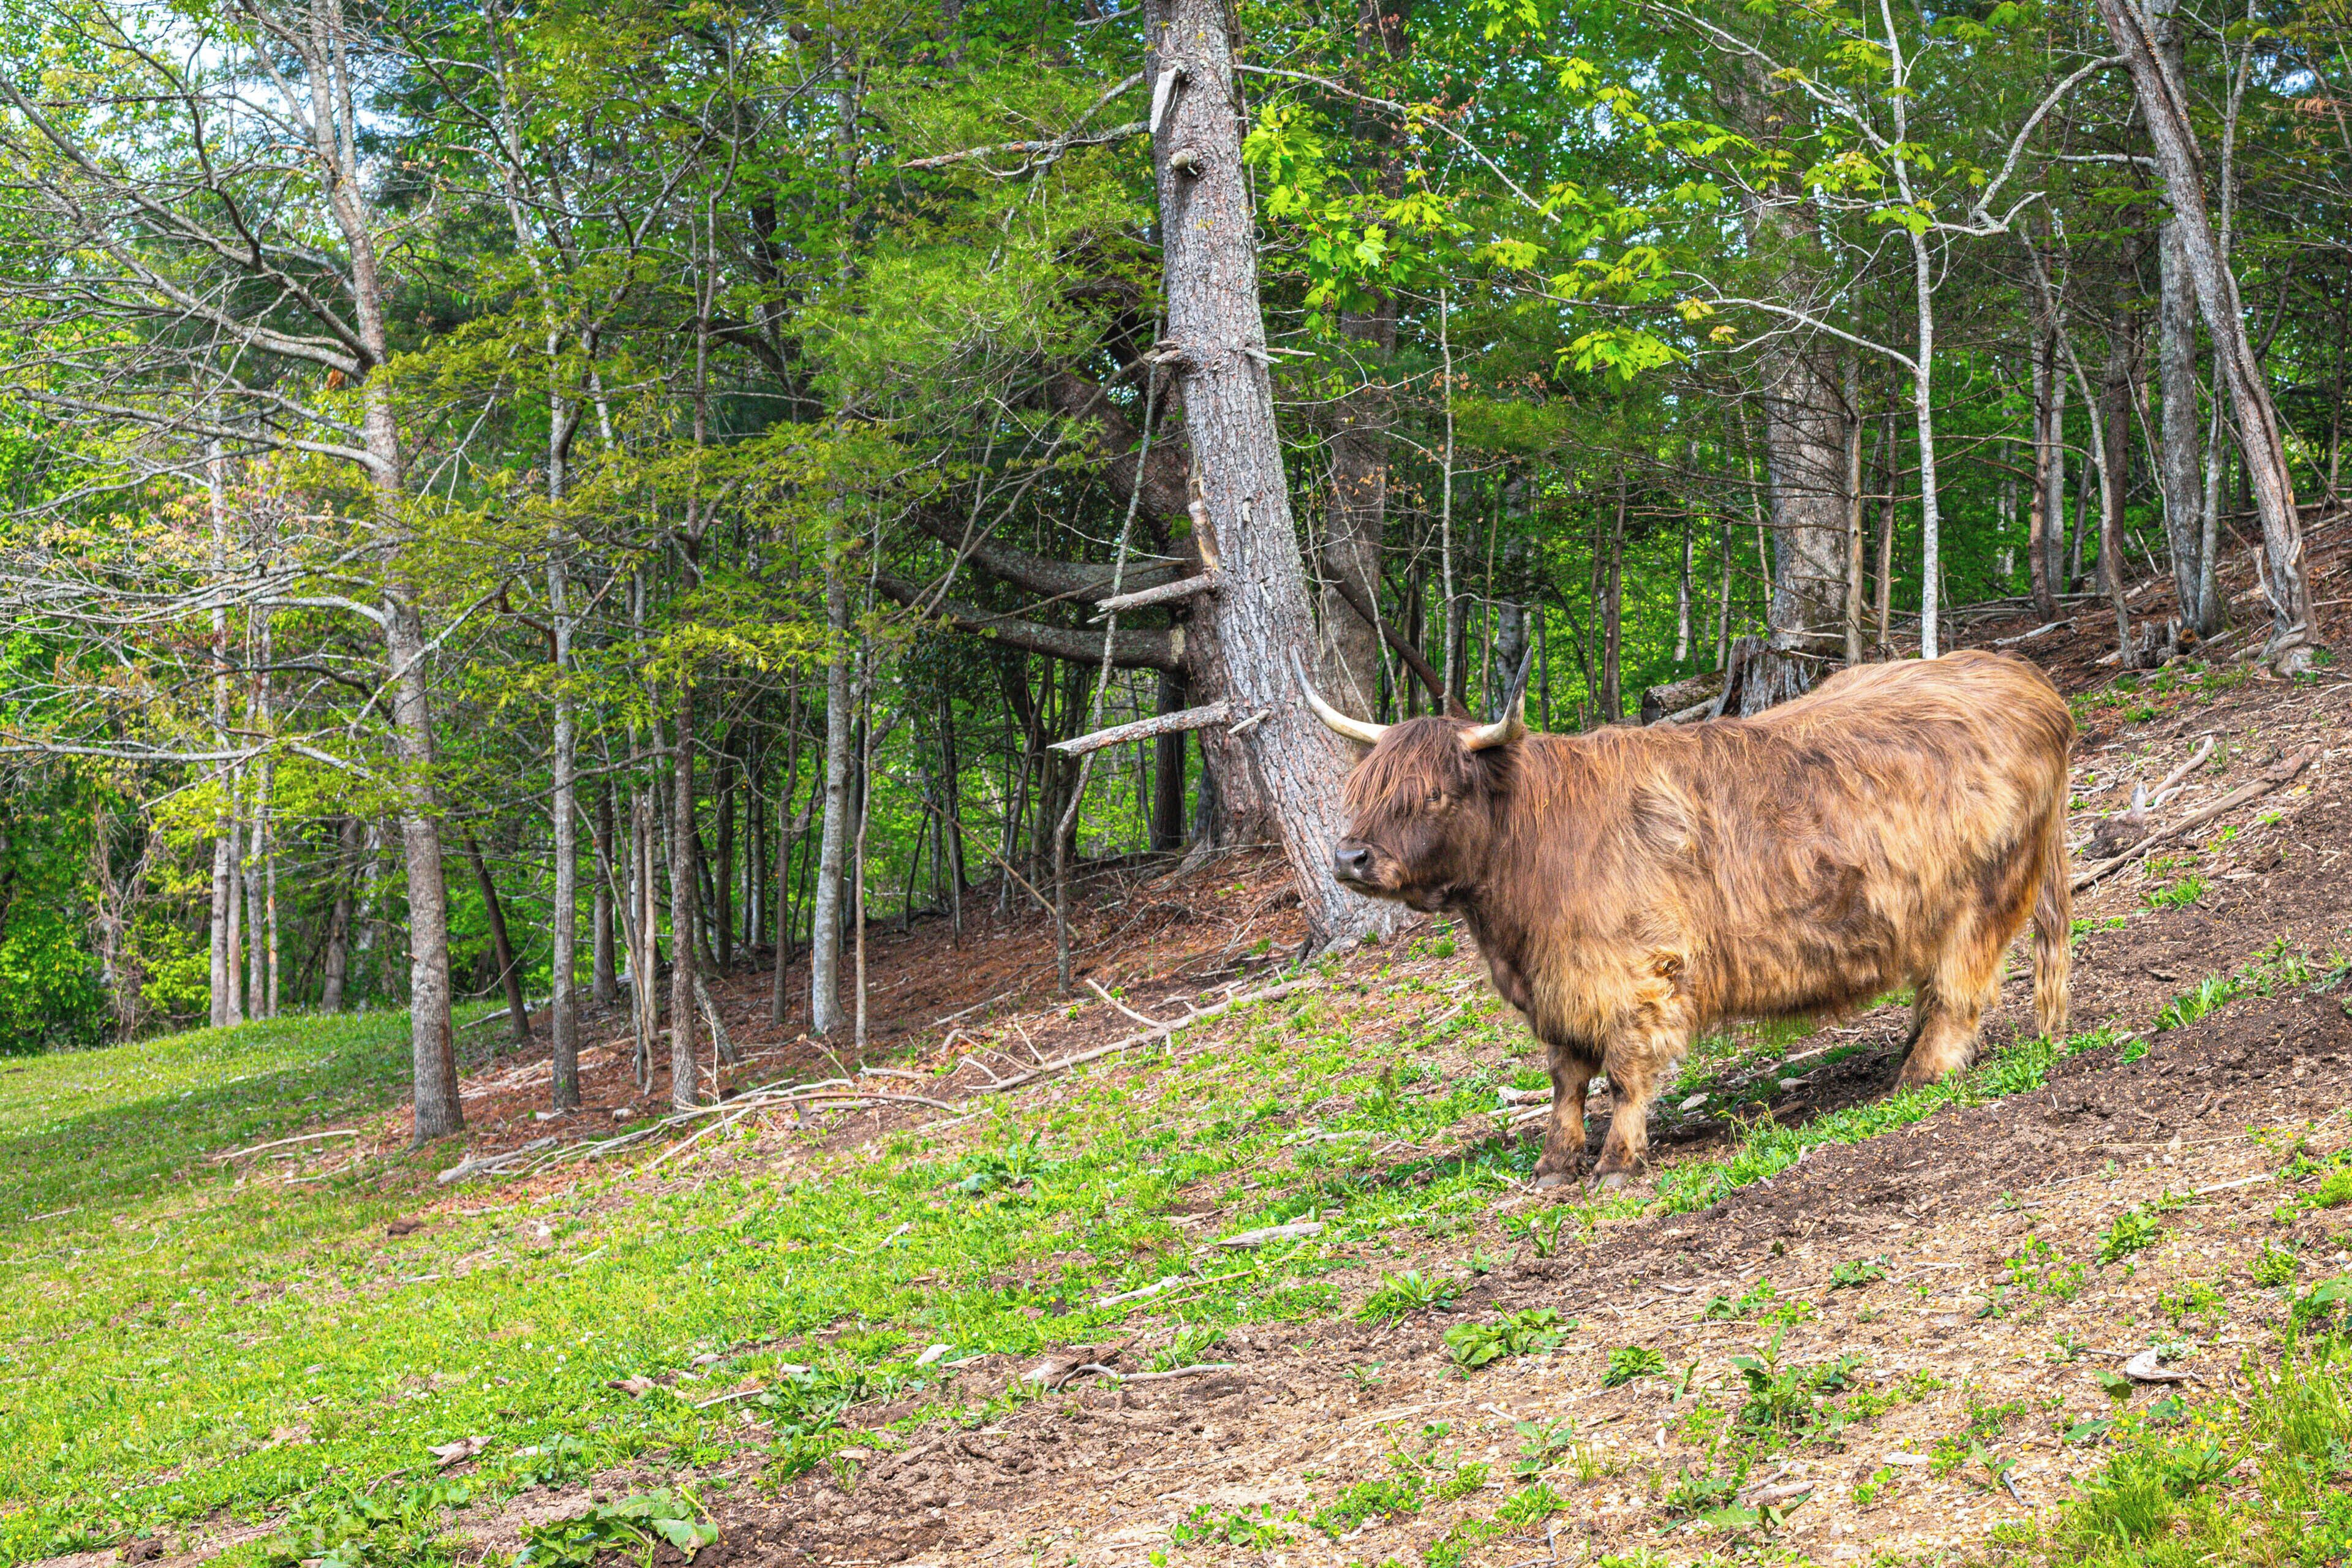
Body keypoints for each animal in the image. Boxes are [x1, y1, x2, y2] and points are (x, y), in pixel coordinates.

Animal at [1298, 650, 2074, 1190]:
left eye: (1432, 794)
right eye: (1365, 787)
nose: (1349, 856)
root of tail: (2024, 679)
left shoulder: (1633, 974)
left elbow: (1623, 1074)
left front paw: (1617, 1163)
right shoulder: (1556, 984)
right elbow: (1565, 1078)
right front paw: (1553, 1166)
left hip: (1982, 894)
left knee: (1961, 989)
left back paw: (1917, 1076)